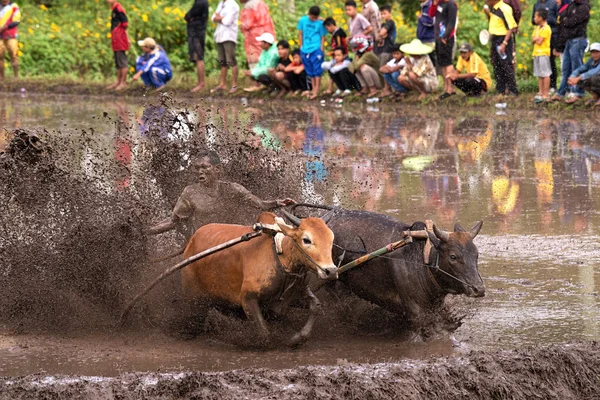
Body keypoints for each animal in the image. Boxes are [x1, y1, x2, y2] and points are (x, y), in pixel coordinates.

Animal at [180, 211, 338, 346]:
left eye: (331, 239)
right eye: (306, 240)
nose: (331, 271)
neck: (281, 256)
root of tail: (191, 240)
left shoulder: (299, 291)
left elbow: (316, 306)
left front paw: (297, 338)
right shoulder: (247, 297)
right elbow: (264, 333)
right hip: (192, 295)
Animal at [284, 206, 486, 334]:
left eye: (476, 255)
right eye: (453, 256)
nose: (479, 289)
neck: (421, 260)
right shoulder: (415, 314)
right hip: (314, 278)